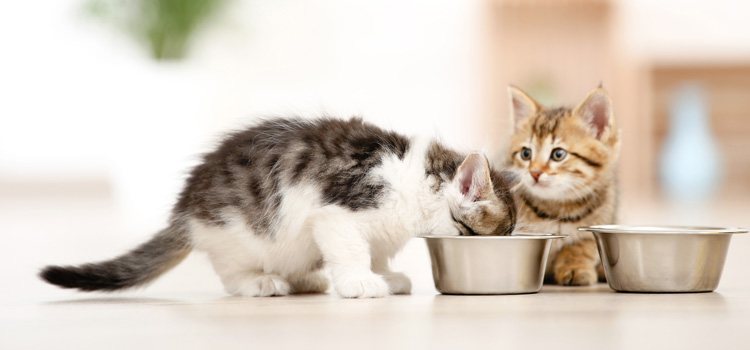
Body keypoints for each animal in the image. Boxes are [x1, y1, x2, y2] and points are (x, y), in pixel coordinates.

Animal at [38, 117, 516, 298]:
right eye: (499, 234)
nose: (510, 241)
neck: (418, 180)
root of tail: (185, 209)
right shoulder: (337, 213)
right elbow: (352, 249)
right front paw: (361, 281)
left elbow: (377, 250)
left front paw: (385, 274)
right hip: (237, 234)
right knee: (231, 274)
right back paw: (261, 282)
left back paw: (307, 279)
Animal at [506, 86, 624, 286]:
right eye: (526, 154)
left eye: (558, 154)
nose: (534, 173)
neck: (557, 207)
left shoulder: (600, 218)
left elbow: (580, 248)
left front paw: (575, 268)